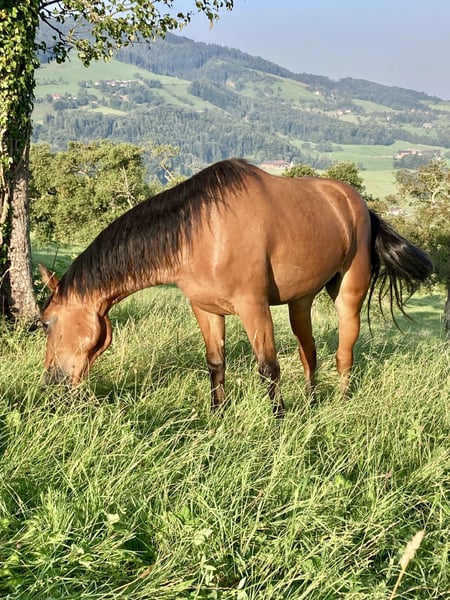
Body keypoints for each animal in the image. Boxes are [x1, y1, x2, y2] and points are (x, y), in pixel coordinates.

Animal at [39, 158, 433, 416]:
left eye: (45, 323)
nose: (50, 386)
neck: (201, 232)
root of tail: (361, 207)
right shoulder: (205, 309)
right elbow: (216, 363)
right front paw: (218, 414)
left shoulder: (253, 306)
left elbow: (268, 366)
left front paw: (279, 419)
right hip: (300, 301)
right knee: (309, 352)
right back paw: (310, 403)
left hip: (348, 294)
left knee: (343, 352)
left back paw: (342, 401)